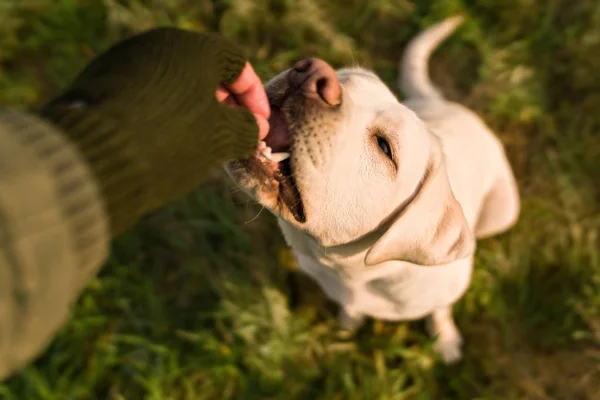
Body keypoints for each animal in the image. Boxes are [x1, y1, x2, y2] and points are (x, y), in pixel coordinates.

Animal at [227, 15, 516, 364]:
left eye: (384, 147)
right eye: (345, 79)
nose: (311, 72)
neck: (351, 272)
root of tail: (437, 101)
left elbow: (440, 312)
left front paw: (445, 339)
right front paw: (347, 324)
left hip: (505, 212)